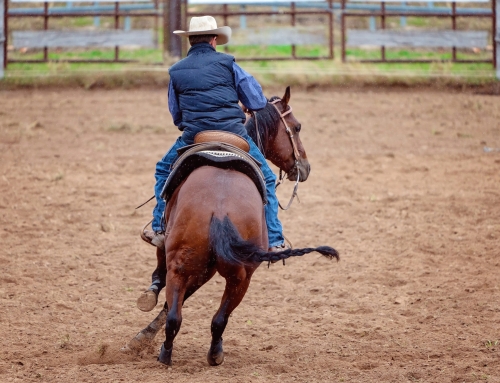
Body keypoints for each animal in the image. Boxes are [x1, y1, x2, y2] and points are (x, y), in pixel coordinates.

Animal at [123, 86, 338, 366]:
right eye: (297, 127)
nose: (305, 167)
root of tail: (221, 210)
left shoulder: (195, 267)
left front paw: (142, 335)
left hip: (192, 266)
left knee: (181, 316)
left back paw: (168, 354)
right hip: (238, 274)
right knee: (214, 318)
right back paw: (212, 354)